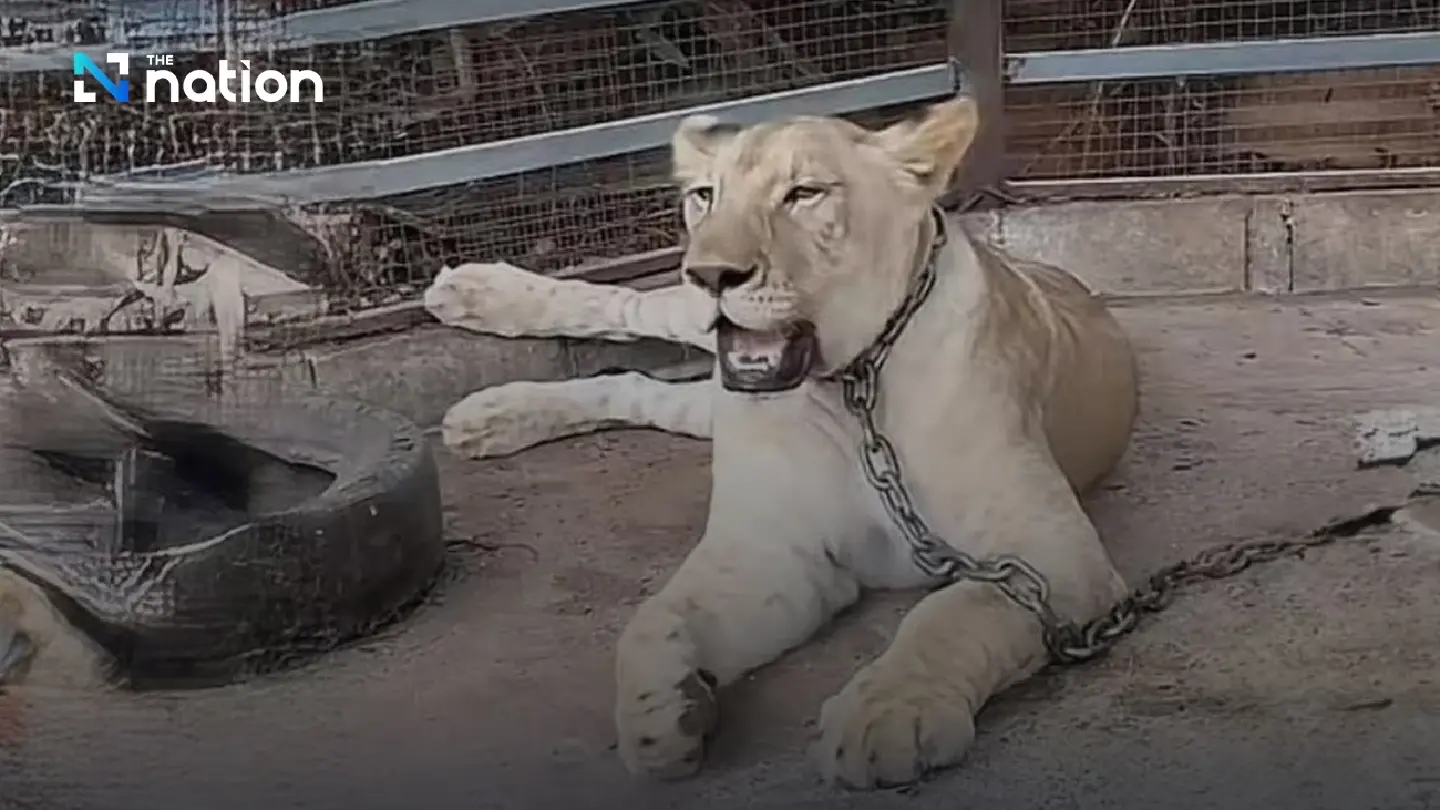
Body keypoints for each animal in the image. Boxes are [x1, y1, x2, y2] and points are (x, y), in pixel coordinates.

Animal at [423, 95, 1140, 788]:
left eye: (804, 193)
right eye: (705, 195)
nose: (713, 274)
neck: (851, 389)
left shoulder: (1052, 554)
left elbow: (953, 613)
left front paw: (887, 715)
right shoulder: (770, 549)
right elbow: (654, 619)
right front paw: (660, 714)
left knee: (635, 390)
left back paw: (491, 414)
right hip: (685, 320)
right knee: (631, 308)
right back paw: (477, 302)